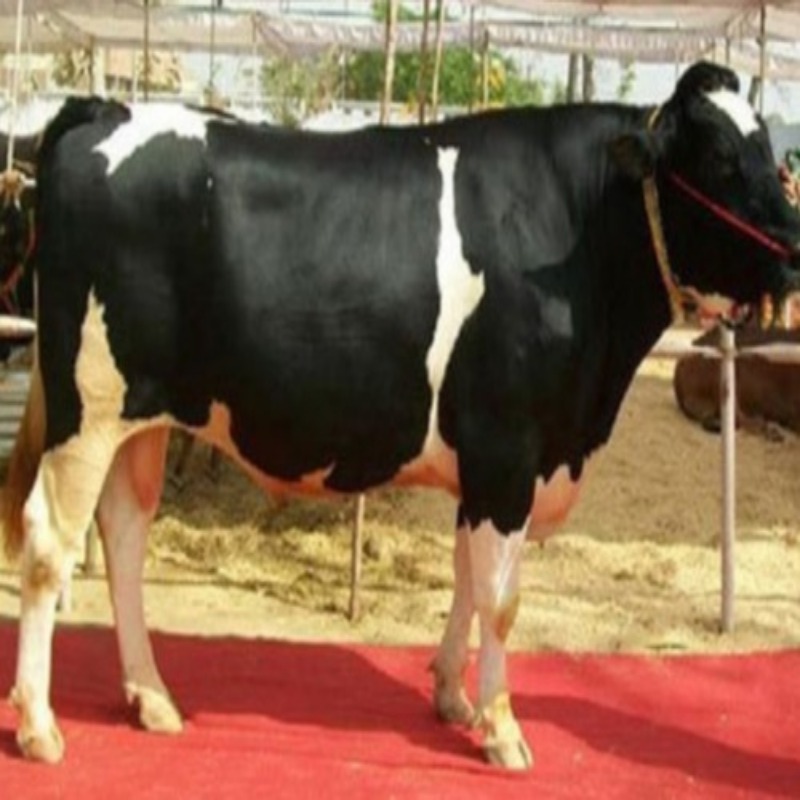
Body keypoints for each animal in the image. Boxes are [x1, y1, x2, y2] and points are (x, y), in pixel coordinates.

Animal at [3, 61, 800, 770]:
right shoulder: (509, 449)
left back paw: (151, 697)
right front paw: (502, 729)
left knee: (124, 534)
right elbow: (501, 599)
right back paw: (41, 725)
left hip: (143, 414)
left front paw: (452, 697)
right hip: (87, 408)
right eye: (721, 158)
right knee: (49, 544)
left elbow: (466, 580)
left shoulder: (488, 461)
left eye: (768, 148)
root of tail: (106, 108)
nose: (794, 251)